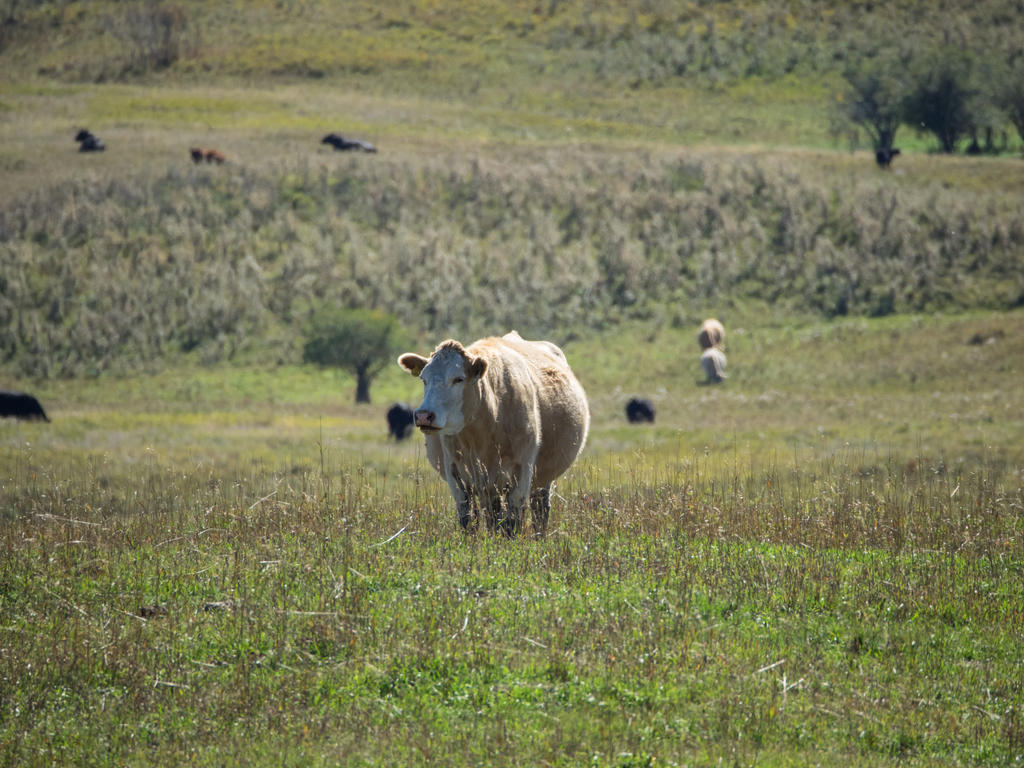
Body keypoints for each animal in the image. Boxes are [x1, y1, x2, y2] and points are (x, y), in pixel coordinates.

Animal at [399, 333, 593, 536]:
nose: (423, 415)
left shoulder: (522, 473)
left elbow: (513, 522)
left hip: (542, 479)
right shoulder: (456, 476)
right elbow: (469, 520)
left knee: (539, 511)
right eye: (424, 379)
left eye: (458, 379)